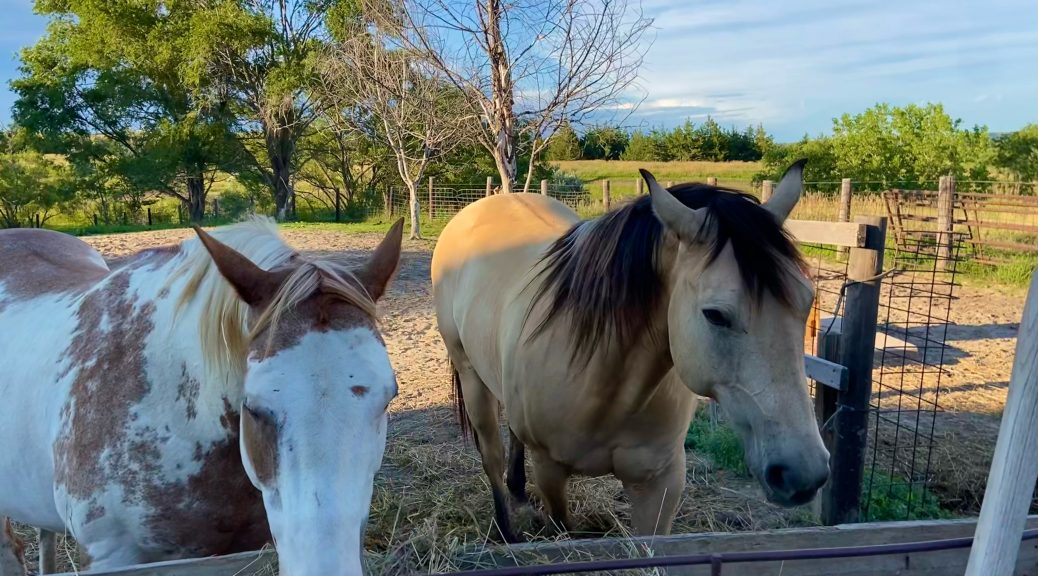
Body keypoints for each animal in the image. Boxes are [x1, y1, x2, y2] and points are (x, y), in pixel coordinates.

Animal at [433, 160, 830, 539]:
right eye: (715, 315)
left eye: (807, 301)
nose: (804, 472)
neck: (603, 381)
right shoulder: (550, 471)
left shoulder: (660, 483)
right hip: (470, 375)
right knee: (492, 456)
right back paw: (505, 530)